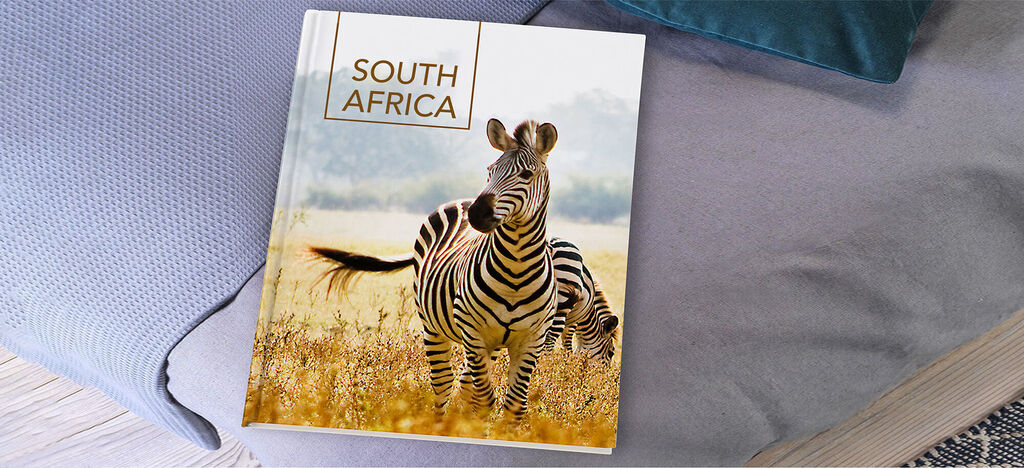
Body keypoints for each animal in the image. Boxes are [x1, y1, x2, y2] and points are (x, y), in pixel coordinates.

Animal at [308, 119, 558, 420]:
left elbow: (514, 406)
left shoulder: (532, 339)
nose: (476, 214)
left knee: (464, 384)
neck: (516, 270)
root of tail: (462, 200)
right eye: (490, 171)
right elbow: (485, 400)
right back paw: (439, 423)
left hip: (487, 344)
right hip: (435, 327)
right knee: (444, 383)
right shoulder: (473, 331)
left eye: (526, 174)